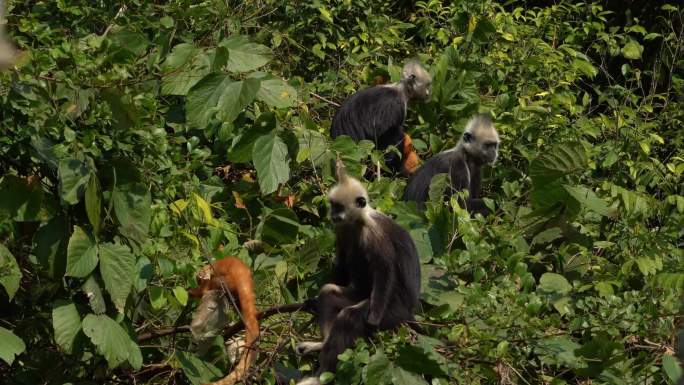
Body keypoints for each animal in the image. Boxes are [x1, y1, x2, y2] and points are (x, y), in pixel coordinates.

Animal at [187, 256, 260, 384]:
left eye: (199, 279)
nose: (199, 279)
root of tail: (243, 275)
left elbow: (202, 290)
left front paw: (191, 291)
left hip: (226, 281)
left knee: (215, 285)